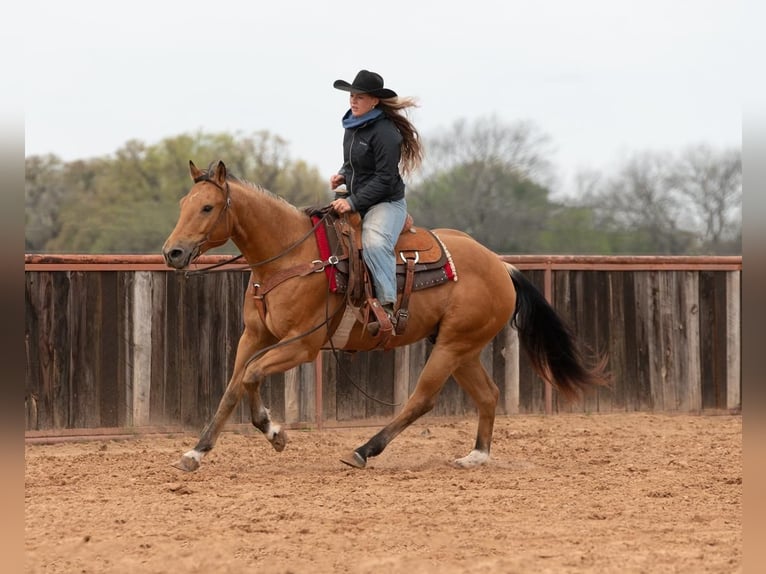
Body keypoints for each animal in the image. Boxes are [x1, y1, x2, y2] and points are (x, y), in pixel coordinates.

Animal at [162, 161, 612, 472]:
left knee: (422, 399)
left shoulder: (303, 345)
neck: (291, 256)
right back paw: (476, 456)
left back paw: (363, 451)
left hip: (452, 346)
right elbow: (233, 386)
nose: (173, 252)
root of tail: (500, 265)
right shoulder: (253, 336)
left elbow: (252, 375)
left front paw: (274, 432)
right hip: (461, 346)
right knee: (488, 394)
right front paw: (197, 451)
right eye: (183, 204)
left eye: (207, 207)